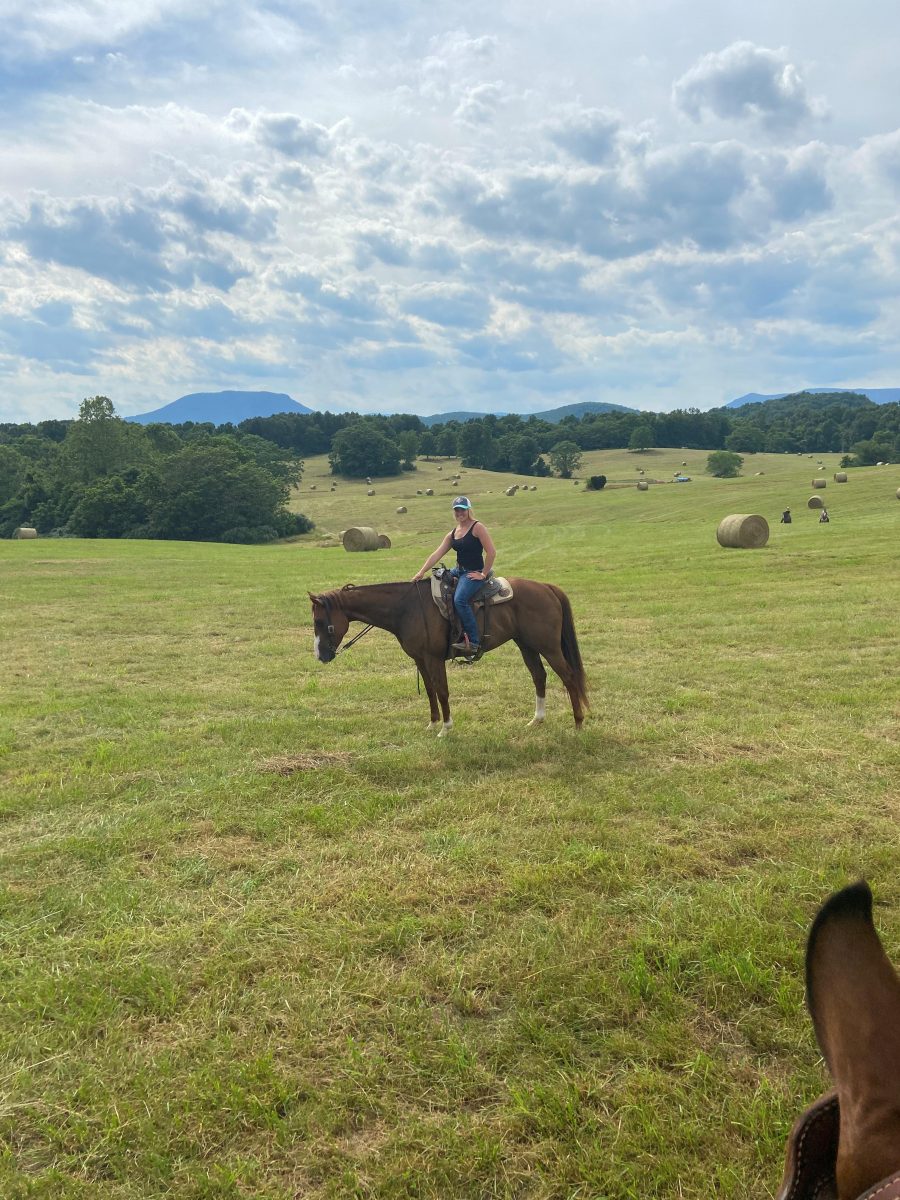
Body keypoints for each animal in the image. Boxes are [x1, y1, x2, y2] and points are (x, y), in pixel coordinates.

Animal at [308, 578, 589, 735]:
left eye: (320, 622)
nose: (320, 655)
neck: (406, 608)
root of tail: (547, 588)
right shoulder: (420, 659)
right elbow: (430, 690)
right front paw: (432, 724)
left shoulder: (433, 658)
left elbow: (442, 691)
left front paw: (445, 728)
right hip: (526, 645)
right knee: (539, 676)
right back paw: (537, 720)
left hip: (548, 647)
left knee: (569, 677)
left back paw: (578, 724)